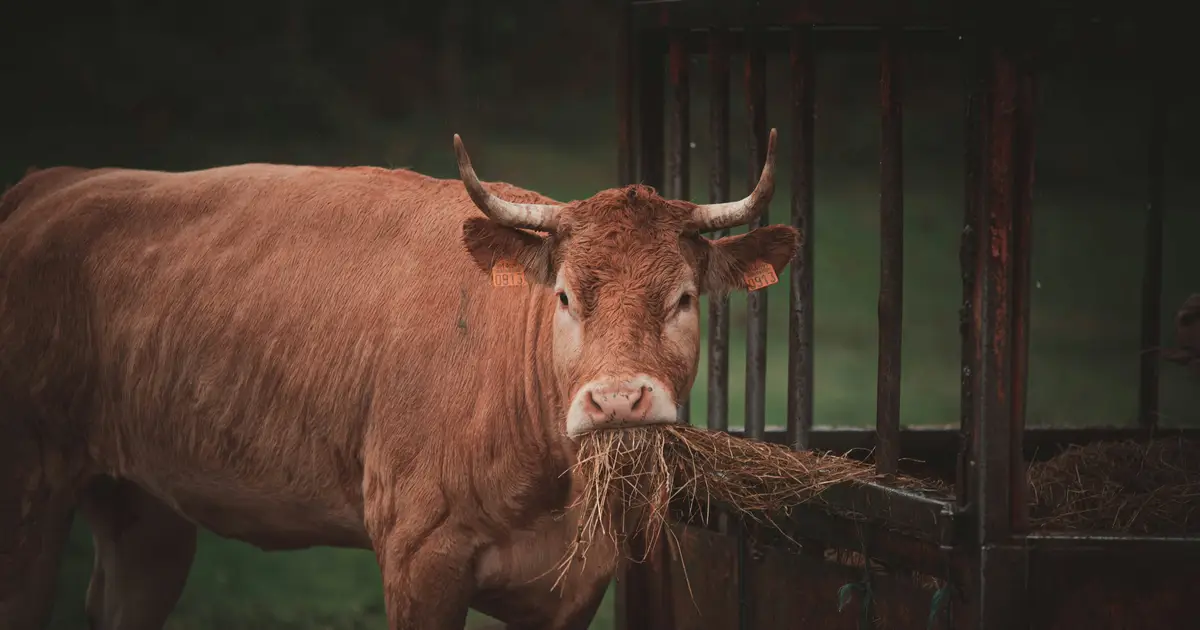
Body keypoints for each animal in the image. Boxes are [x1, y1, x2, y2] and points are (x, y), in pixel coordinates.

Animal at [0, 128, 799, 630]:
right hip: (29, 486)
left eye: (684, 298)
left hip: (143, 503)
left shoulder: (575, 585)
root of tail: (51, 184)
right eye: (567, 296)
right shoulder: (421, 555)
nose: (617, 400)